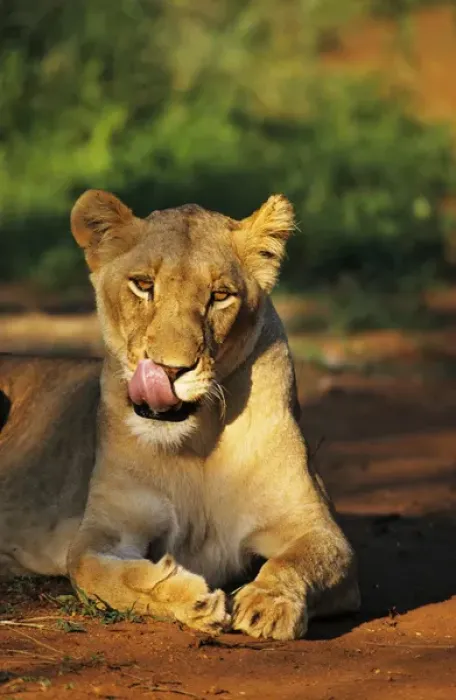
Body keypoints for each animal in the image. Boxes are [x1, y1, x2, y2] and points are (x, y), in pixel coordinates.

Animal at [0, 190, 359, 639]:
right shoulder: (105, 530)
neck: (197, 443)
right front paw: (190, 598)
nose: (170, 370)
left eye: (220, 295)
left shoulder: (314, 526)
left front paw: (270, 602)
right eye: (143, 285)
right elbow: (98, 572)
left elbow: (299, 562)